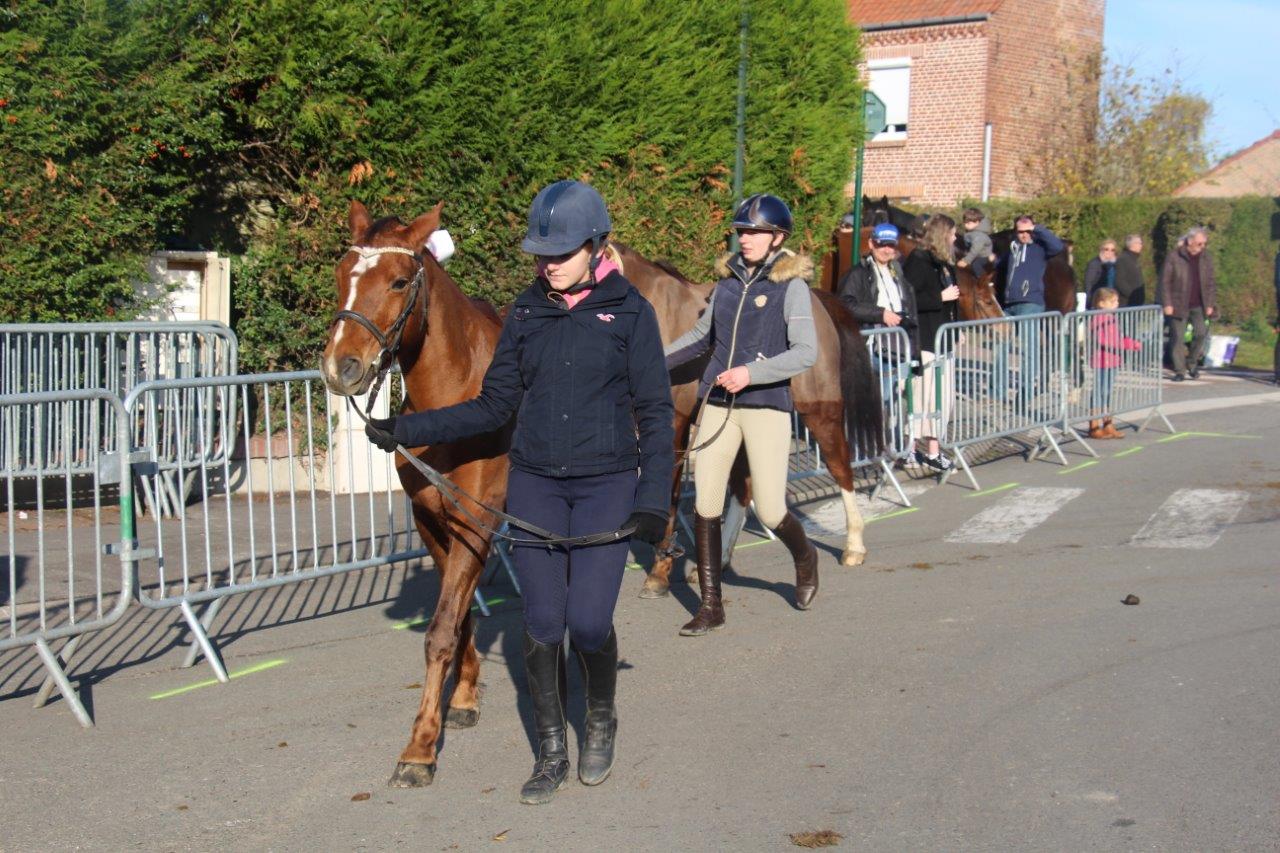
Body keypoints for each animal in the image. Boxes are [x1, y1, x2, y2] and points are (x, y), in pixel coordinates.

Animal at [320, 197, 509, 783]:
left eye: (400, 281)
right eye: (342, 274)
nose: (341, 366)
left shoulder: (475, 520)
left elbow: (443, 627)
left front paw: (421, 746)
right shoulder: (435, 521)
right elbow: (458, 612)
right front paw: (463, 697)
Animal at [606, 242, 885, 594]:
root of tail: (817, 300)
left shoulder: (674, 426)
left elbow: (668, 497)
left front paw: (659, 574)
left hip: (820, 410)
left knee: (840, 465)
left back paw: (854, 546)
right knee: (744, 488)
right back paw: (718, 560)